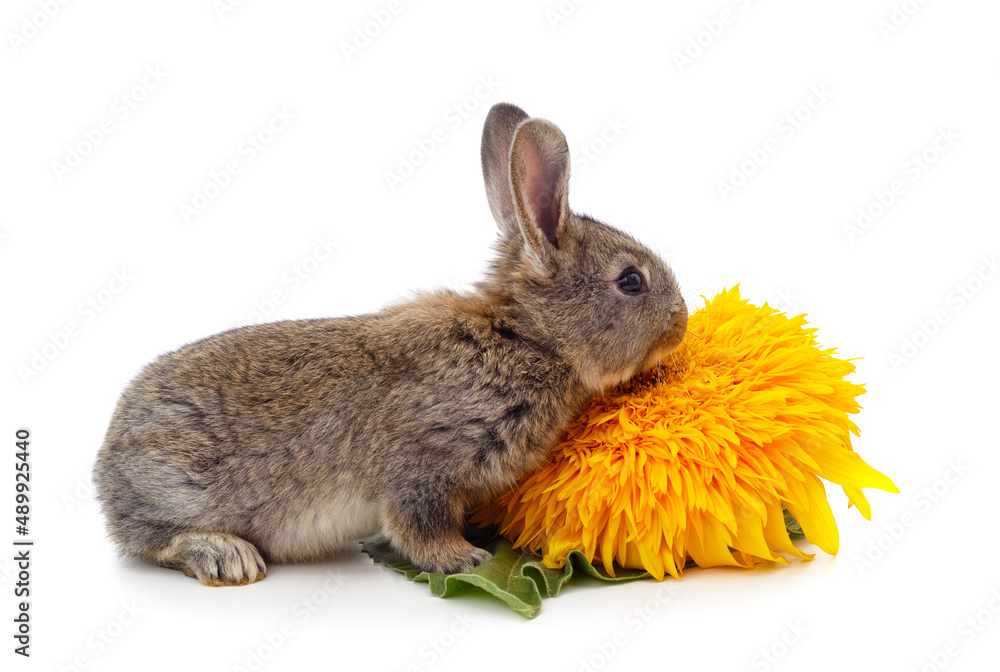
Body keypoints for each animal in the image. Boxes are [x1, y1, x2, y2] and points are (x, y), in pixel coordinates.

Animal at [93, 102, 688, 586]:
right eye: (630, 281)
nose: (681, 323)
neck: (527, 337)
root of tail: (106, 462)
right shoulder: (423, 460)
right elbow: (418, 522)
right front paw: (462, 559)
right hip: (177, 483)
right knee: (151, 539)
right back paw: (225, 556)